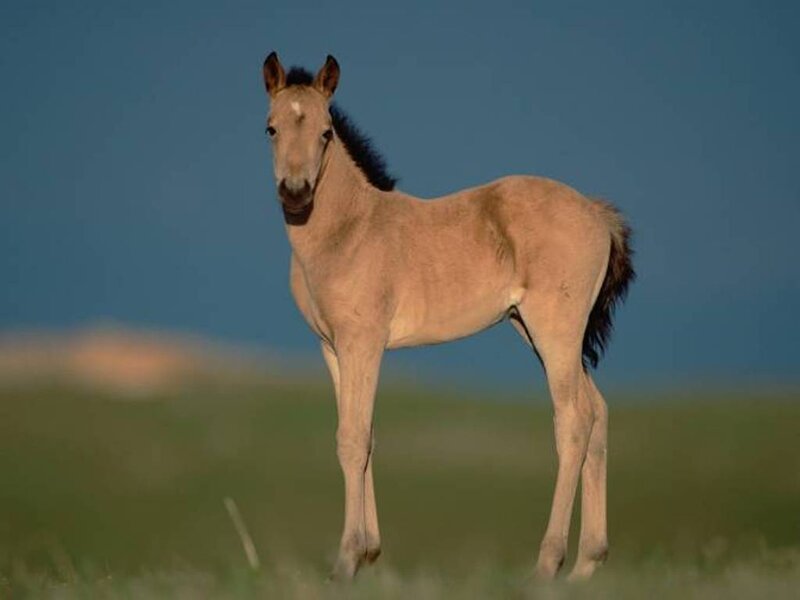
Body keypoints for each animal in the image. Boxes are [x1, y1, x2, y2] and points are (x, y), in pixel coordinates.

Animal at [260, 52, 634, 581]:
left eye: (326, 132)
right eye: (270, 128)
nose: (295, 193)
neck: (350, 229)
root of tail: (598, 213)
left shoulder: (363, 343)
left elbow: (352, 438)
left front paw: (347, 560)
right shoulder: (332, 348)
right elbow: (362, 435)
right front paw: (369, 553)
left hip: (555, 331)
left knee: (574, 420)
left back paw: (547, 564)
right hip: (536, 331)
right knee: (597, 412)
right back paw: (586, 564)